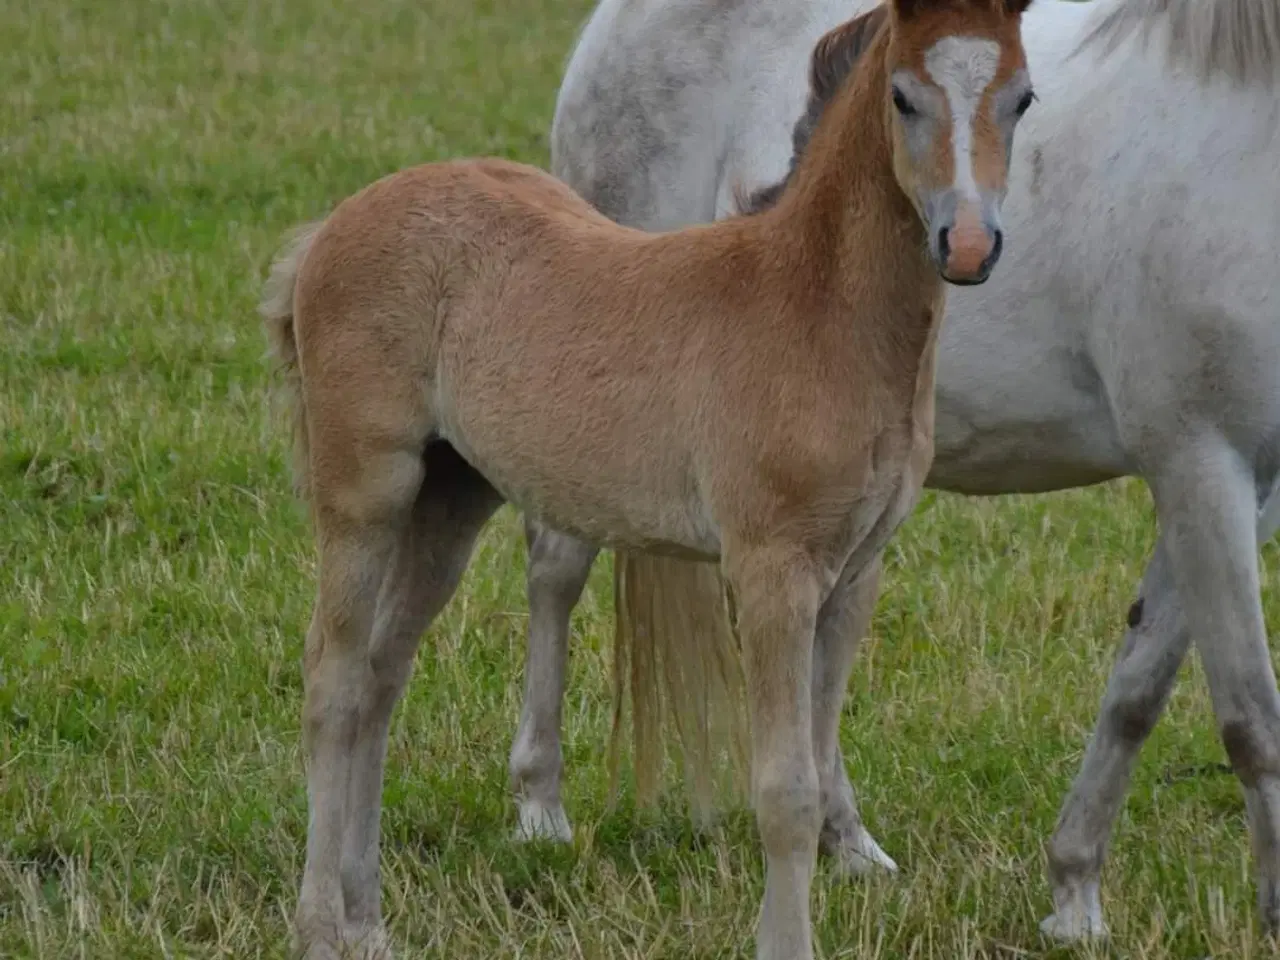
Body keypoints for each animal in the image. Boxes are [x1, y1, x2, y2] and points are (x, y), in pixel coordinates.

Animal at [262, 3, 1039, 957]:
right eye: (903, 95)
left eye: (1022, 97)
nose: (966, 245)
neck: (815, 311)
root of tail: (331, 227)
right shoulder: (770, 569)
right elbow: (786, 789)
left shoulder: (856, 571)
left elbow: (821, 763)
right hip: (365, 493)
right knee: (332, 686)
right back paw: (319, 925)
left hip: (450, 499)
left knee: (380, 678)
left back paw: (368, 920)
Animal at [504, 0, 1280, 942]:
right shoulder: (1197, 458)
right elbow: (1249, 717)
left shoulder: (1242, 481)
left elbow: (1140, 687)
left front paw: (1074, 898)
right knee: (556, 570)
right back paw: (540, 809)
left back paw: (848, 847)